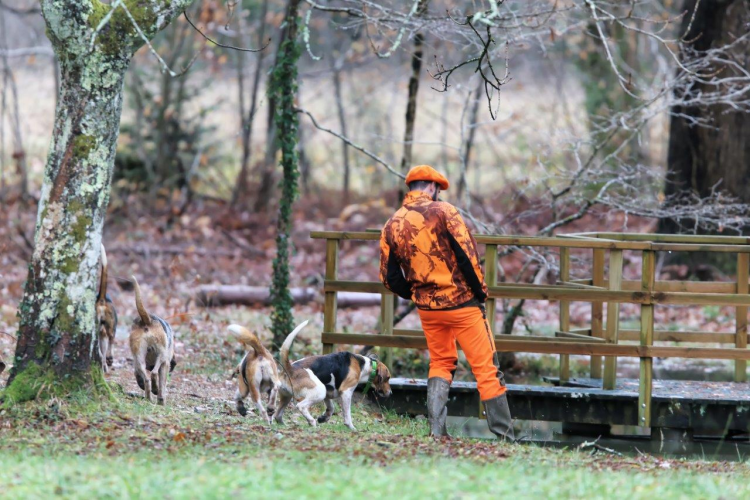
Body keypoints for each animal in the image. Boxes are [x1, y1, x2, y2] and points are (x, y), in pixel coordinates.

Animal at [130, 278, 177, 406]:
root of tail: (148, 320)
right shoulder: (165, 364)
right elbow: (162, 384)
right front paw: (161, 399)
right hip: (161, 355)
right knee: (154, 373)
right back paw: (156, 393)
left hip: (139, 357)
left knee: (147, 379)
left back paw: (148, 397)